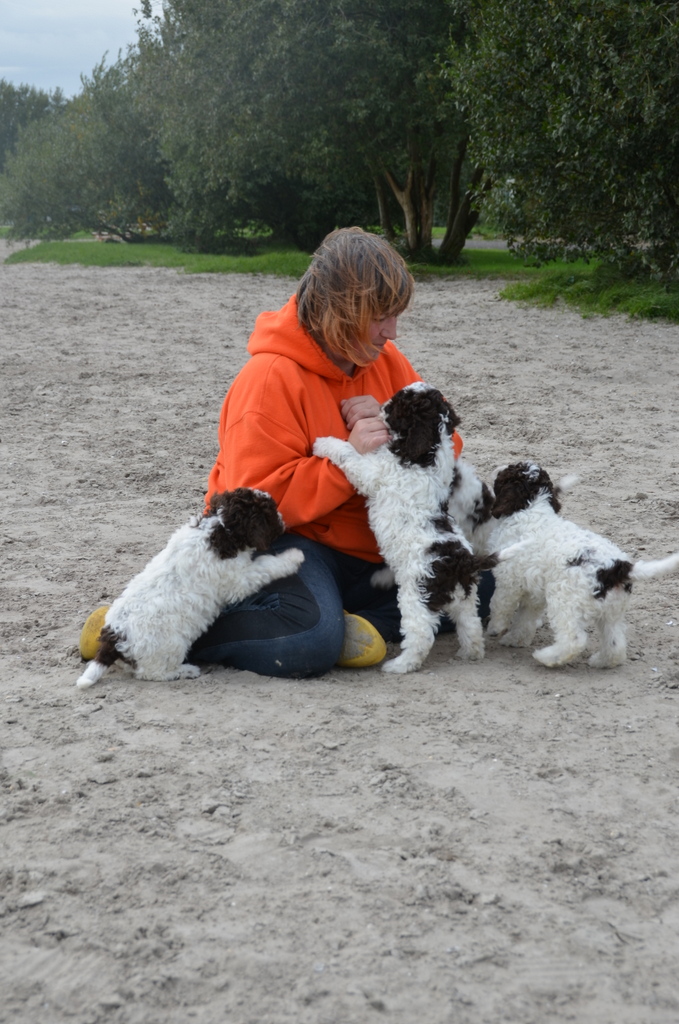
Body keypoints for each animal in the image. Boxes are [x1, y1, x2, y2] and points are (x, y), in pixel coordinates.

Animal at [76, 488, 304, 687]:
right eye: (271, 512)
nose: (284, 521)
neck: (221, 527)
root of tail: (114, 636)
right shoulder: (239, 579)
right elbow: (267, 565)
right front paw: (294, 556)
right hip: (169, 646)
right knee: (152, 673)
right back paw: (185, 671)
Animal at [313, 383, 522, 673]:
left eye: (396, 407)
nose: (380, 406)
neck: (426, 455)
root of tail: (464, 562)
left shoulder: (372, 472)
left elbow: (348, 453)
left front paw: (323, 443)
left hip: (417, 597)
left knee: (421, 635)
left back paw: (399, 665)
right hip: (465, 598)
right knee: (471, 627)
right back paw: (468, 654)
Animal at [480, 461, 679, 668]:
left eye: (506, 474)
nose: (496, 468)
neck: (531, 507)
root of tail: (617, 568)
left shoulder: (508, 579)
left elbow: (499, 604)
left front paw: (495, 628)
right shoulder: (532, 590)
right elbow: (525, 619)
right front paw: (515, 640)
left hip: (565, 603)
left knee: (573, 640)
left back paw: (547, 657)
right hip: (612, 611)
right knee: (615, 642)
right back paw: (601, 661)